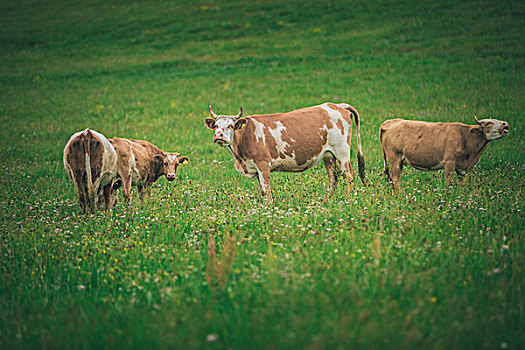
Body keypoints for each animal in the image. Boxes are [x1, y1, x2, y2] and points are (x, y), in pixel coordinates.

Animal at [204, 102, 364, 202]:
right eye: (216, 126)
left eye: (231, 126)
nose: (219, 136)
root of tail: (337, 105)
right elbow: (263, 190)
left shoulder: (263, 164)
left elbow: (266, 190)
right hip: (328, 156)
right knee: (333, 177)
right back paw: (327, 201)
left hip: (342, 151)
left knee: (348, 175)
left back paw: (347, 199)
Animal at [380, 116, 508, 189]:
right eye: (488, 123)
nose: (505, 124)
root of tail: (390, 122)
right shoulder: (449, 163)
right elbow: (448, 183)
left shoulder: (462, 169)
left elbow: (462, 185)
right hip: (394, 158)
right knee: (395, 178)